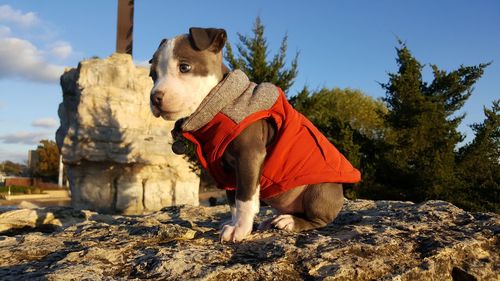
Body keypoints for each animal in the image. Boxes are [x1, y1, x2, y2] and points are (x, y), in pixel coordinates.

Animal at [148, 27, 360, 241]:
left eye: (184, 67)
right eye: (152, 75)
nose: (154, 97)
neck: (218, 104)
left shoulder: (249, 156)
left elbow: (244, 197)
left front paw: (240, 229)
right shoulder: (226, 170)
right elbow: (233, 201)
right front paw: (234, 223)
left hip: (318, 192)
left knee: (319, 220)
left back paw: (290, 222)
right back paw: (274, 220)